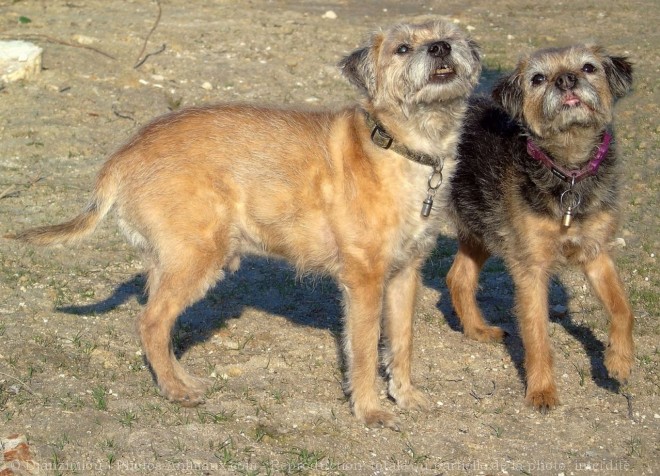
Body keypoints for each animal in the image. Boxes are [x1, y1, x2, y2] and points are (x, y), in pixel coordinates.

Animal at [7, 19, 482, 428]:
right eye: (403, 48)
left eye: (448, 35)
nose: (441, 48)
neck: (404, 145)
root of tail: (122, 156)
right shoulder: (365, 280)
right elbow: (364, 351)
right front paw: (369, 409)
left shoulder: (405, 274)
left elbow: (401, 342)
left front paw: (406, 395)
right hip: (199, 258)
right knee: (149, 323)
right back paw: (176, 390)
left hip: (174, 262)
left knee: (158, 326)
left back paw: (177, 379)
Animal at [446, 43, 636, 410]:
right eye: (537, 78)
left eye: (588, 67)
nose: (566, 79)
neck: (569, 172)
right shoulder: (530, 269)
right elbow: (537, 334)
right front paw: (542, 390)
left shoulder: (596, 254)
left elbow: (623, 307)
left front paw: (619, 359)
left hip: (479, 229)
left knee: (458, 277)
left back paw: (478, 330)